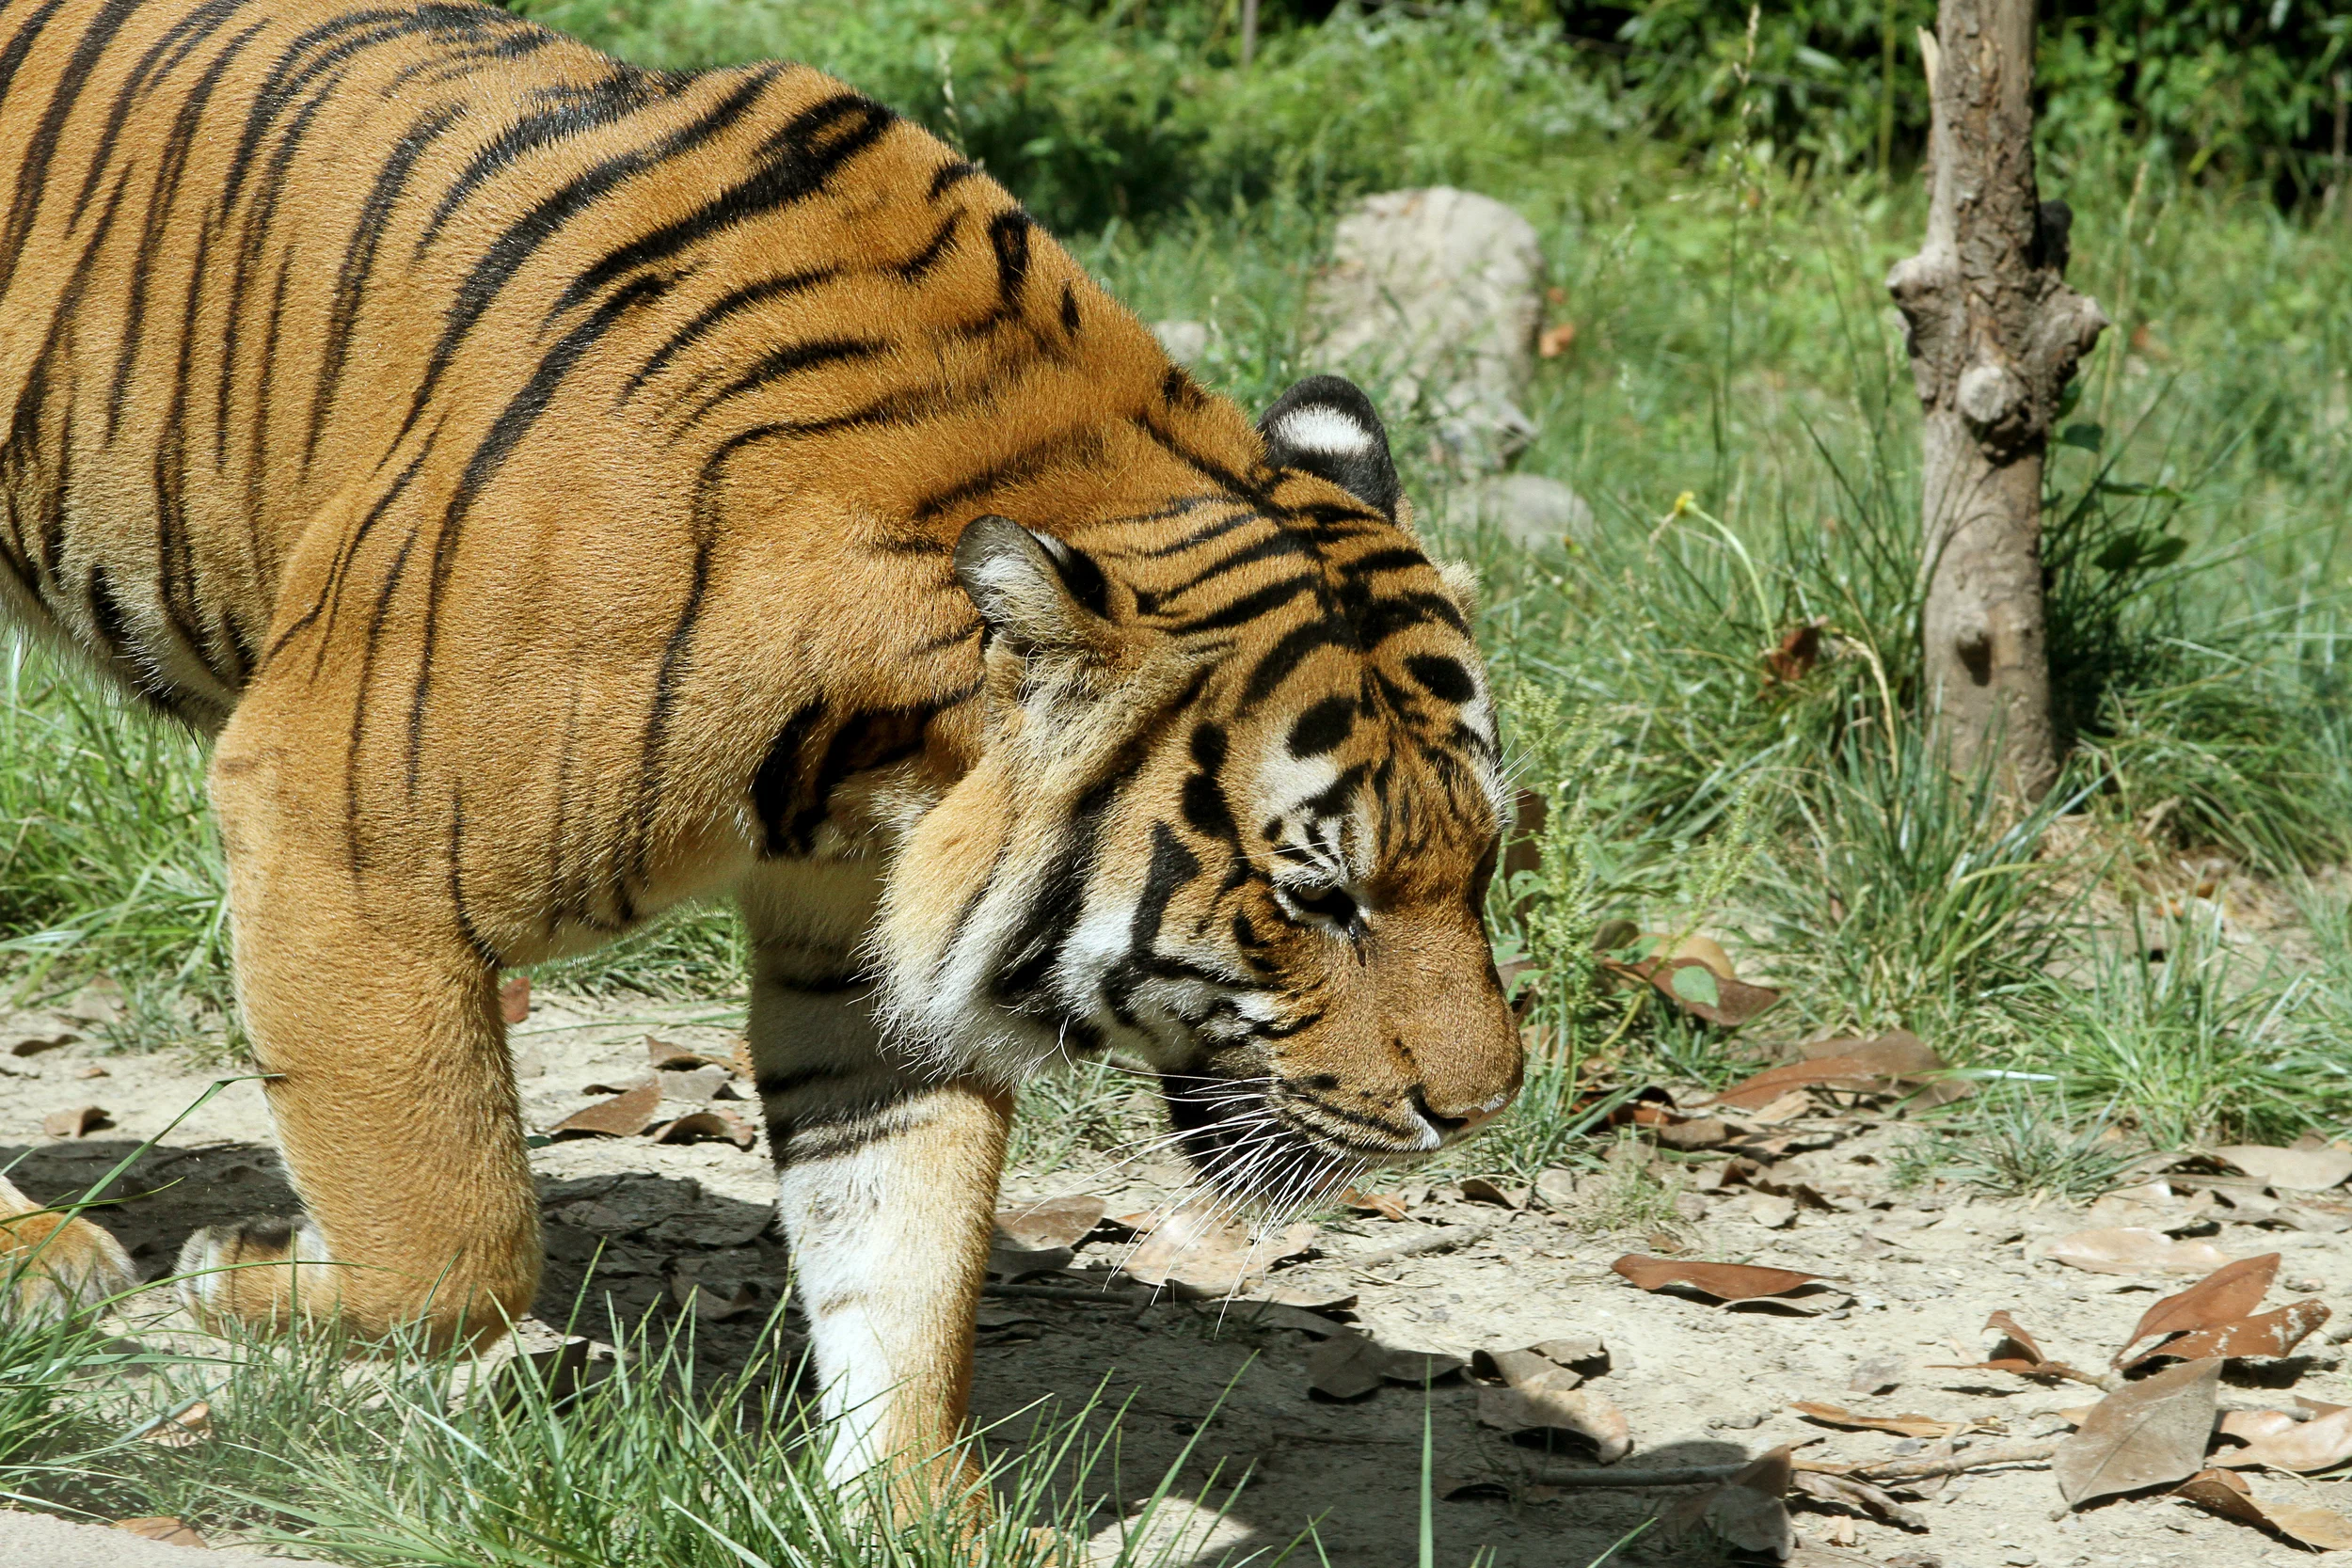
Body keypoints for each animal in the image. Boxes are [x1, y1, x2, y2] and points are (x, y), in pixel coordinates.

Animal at [0, 0, 1524, 1498]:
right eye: (1317, 894)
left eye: (1483, 864)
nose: (1482, 1109)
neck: (885, 757)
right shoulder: (339, 830)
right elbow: (454, 1235)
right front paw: (240, 1275)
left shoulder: (865, 954)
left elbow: (900, 1251)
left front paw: (912, 1513)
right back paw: (44, 1258)